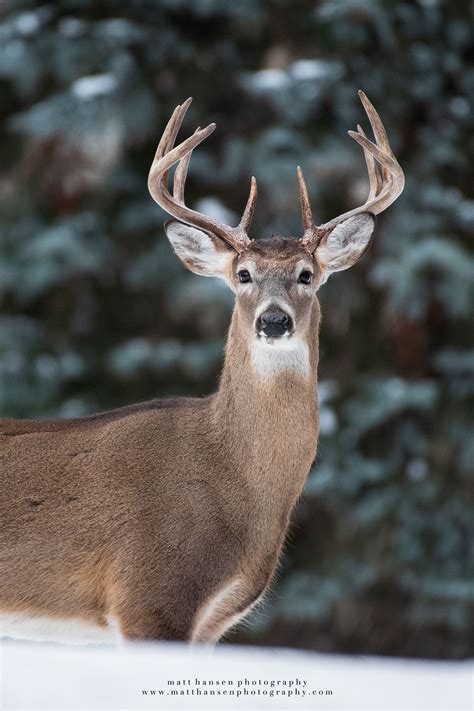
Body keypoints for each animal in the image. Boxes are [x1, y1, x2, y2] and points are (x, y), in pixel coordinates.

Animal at [0, 89, 404, 644]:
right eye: (243, 274)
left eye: (306, 274)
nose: (273, 321)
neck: (232, 477)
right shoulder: (149, 594)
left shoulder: (211, 625)